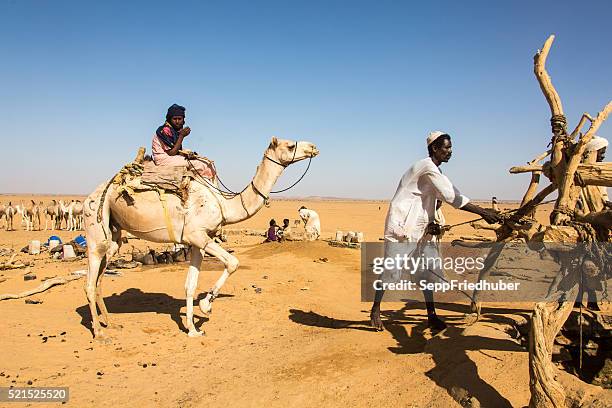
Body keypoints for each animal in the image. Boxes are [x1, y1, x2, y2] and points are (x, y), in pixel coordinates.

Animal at [83, 139, 318, 340]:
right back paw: (100, 333)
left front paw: (193, 329)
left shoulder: (198, 243)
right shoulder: (197, 235)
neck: (223, 204)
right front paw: (206, 305)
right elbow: (233, 263)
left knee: (100, 277)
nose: (313, 147)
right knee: (90, 281)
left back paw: (110, 323)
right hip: (95, 224)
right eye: (290, 145)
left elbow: (190, 285)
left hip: (114, 234)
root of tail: (90, 196)